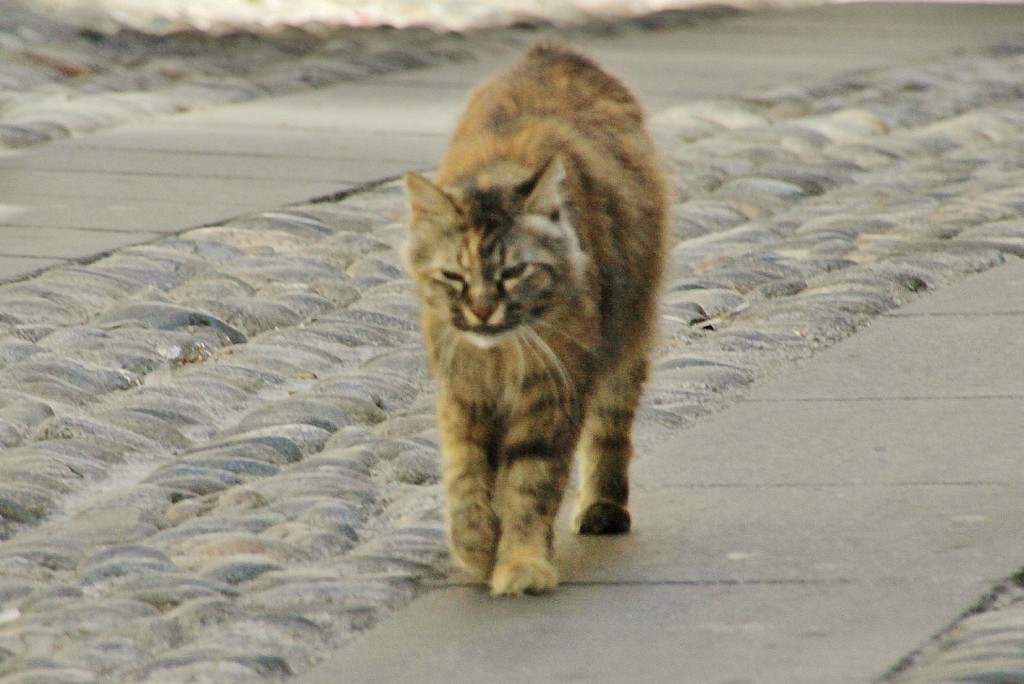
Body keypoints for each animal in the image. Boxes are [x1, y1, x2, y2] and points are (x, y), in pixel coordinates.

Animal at [399, 42, 671, 593]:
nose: (483, 309)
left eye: (513, 272)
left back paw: (603, 508)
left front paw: (521, 563)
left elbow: (529, 486)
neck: (500, 358)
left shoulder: (551, 393)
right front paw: (478, 547)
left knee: (611, 431)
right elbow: (466, 481)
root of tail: (553, 52)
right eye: (454, 277)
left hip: (625, 344)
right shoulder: (463, 394)